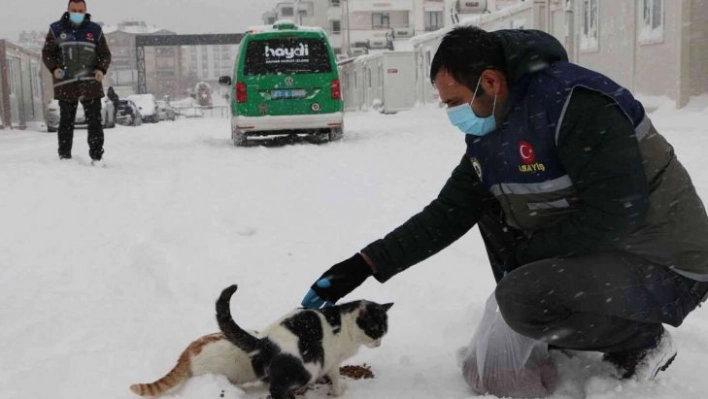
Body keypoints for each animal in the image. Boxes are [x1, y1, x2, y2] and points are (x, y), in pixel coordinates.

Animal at [216, 284, 392, 399]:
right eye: (374, 331)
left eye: (384, 332)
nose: (379, 344)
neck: (346, 324)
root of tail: (265, 341)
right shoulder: (332, 361)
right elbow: (335, 377)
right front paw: (338, 392)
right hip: (308, 368)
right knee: (276, 388)